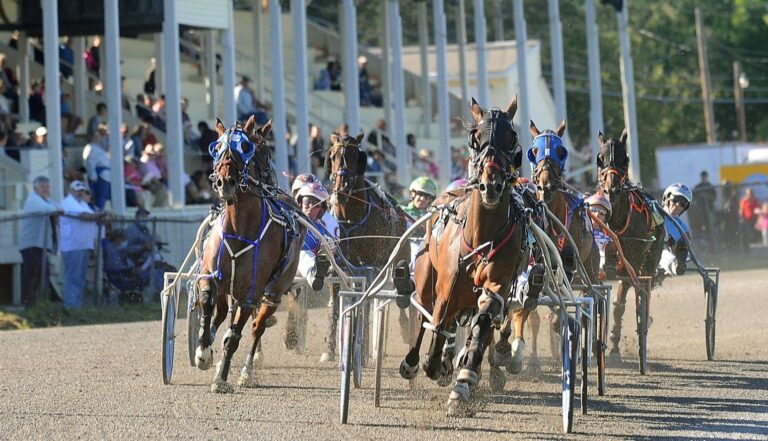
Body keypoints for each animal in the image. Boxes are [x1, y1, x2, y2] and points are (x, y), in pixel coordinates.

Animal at [195, 115, 306, 390]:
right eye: (217, 147)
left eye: (245, 147)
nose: (225, 182)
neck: (240, 229)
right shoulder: (211, 275)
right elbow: (207, 303)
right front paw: (203, 352)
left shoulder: (252, 292)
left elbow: (236, 335)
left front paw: (222, 379)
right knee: (221, 314)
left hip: (275, 291)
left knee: (257, 327)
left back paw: (246, 371)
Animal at [396, 97, 528, 416]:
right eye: (475, 137)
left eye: (512, 138)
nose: (491, 184)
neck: (482, 234)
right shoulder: (448, 287)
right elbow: (437, 325)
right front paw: (436, 363)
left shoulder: (496, 285)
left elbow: (483, 323)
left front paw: (464, 383)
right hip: (426, 275)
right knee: (424, 312)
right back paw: (414, 362)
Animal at [596, 128, 664, 360]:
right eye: (600, 159)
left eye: (625, 160)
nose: (611, 190)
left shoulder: (630, 262)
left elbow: (620, 303)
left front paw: (615, 346)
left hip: (650, 260)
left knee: (642, 291)